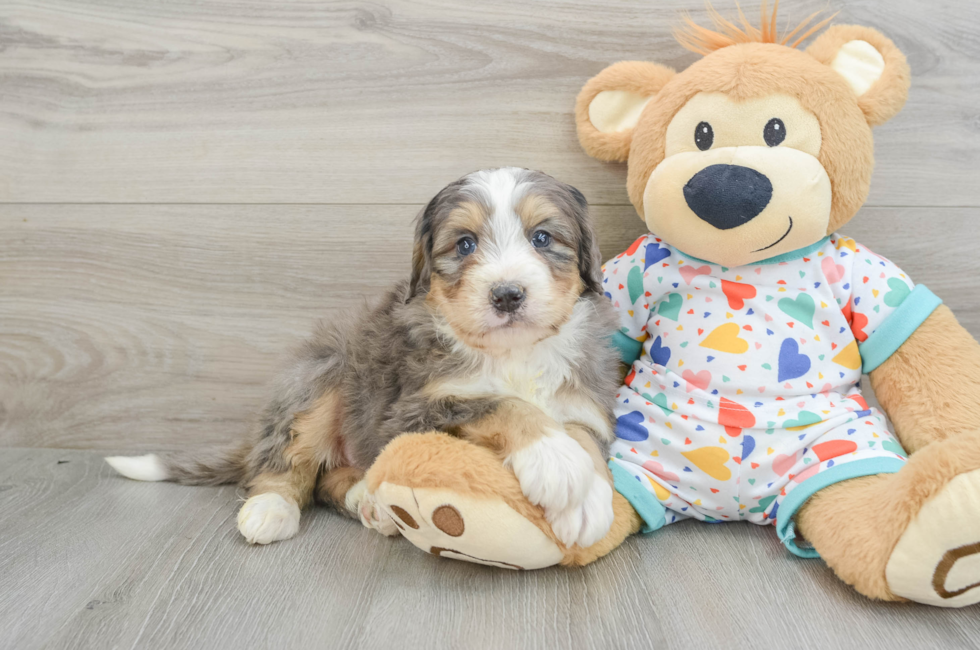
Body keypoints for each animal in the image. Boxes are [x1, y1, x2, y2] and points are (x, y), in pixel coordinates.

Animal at [105, 167, 620, 548]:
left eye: (542, 238)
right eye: (465, 244)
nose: (508, 295)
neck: (513, 353)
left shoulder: (586, 399)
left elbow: (582, 434)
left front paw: (589, 500)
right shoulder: (411, 411)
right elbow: (501, 404)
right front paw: (556, 461)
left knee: (328, 480)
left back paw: (367, 500)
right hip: (322, 375)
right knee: (286, 465)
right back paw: (271, 508)